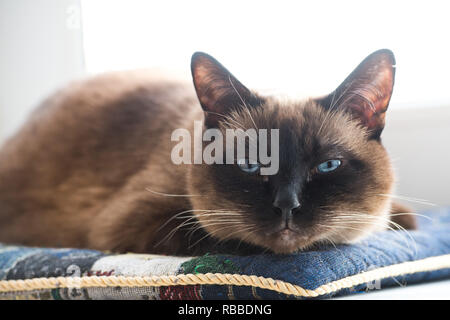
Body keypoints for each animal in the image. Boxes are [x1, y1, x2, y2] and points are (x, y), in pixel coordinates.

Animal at [0, 49, 414, 255]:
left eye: (327, 166)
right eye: (250, 165)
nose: (287, 207)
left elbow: (398, 219)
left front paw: (399, 221)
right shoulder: (132, 222)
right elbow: (224, 239)